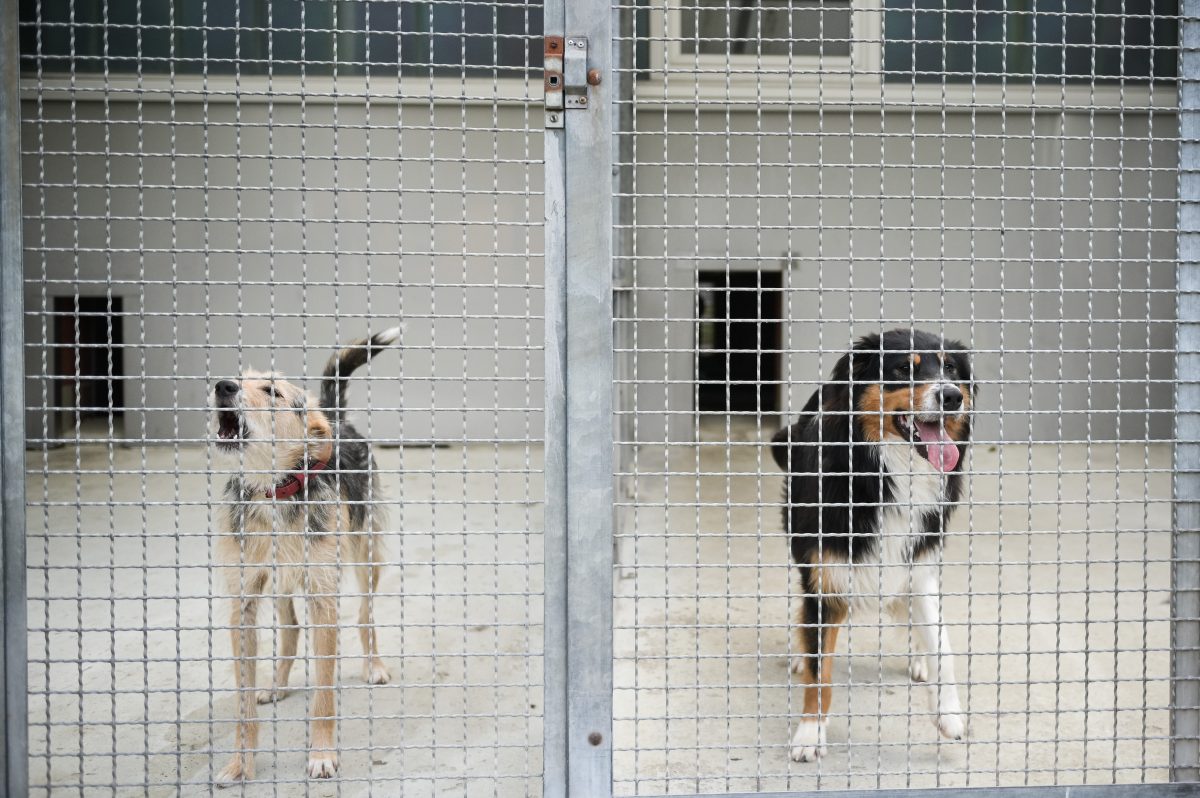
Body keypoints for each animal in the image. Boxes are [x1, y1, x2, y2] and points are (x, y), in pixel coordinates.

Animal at [211, 326, 398, 782]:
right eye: (238, 380)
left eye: (272, 392)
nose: (222, 386)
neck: (273, 490)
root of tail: (333, 417)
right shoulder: (242, 604)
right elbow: (243, 703)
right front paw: (241, 762)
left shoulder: (323, 596)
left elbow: (324, 694)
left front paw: (322, 754)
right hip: (279, 581)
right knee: (291, 629)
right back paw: (277, 685)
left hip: (366, 554)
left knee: (365, 614)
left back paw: (374, 666)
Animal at [768, 328, 974, 758]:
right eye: (903, 369)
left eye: (950, 368)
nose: (952, 397)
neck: (887, 471)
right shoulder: (825, 576)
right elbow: (819, 669)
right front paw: (810, 733)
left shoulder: (918, 565)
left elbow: (943, 643)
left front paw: (948, 713)